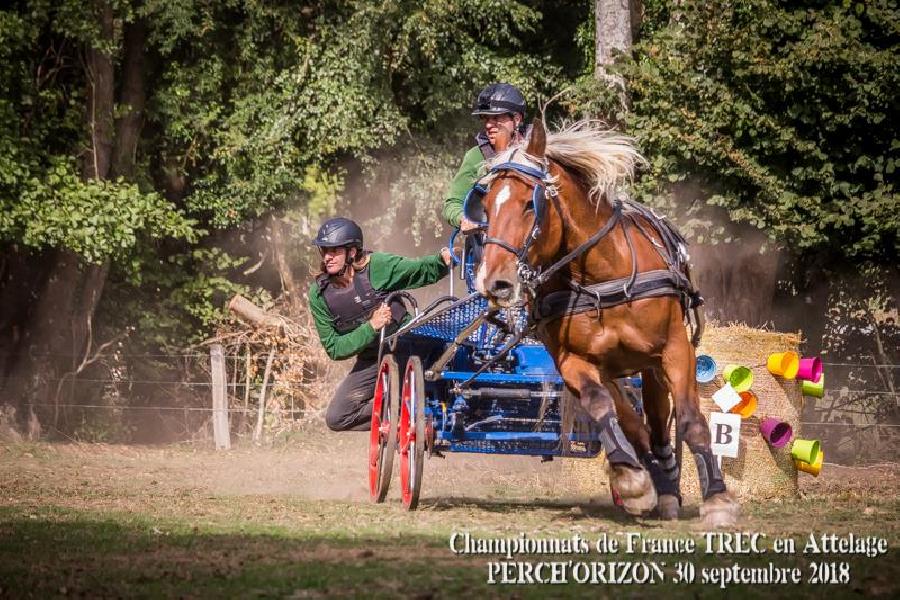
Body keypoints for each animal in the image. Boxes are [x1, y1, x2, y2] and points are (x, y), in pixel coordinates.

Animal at [472, 118, 740, 524]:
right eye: (485, 205)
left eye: (529, 204)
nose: (493, 282)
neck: (600, 276)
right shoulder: (575, 362)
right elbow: (601, 409)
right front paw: (631, 479)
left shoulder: (675, 349)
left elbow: (692, 420)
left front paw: (717, 499)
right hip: (615, 372)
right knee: (635, 427)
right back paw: (654, 483)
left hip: (649, 367)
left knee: (659, 428)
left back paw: (669, 485)